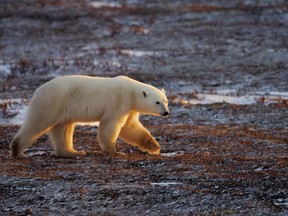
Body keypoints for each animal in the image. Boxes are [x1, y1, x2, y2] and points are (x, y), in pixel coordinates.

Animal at [10, 75, 169, 158]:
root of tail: (38, 90)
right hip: (52, 102)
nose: (166, 113)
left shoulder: (129, 109)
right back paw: (18, 151)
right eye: (157, 102)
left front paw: (154, 146)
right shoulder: (118, 102)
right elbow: (111, 125)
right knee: (37, 123)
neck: (131, 92)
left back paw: (73, 152)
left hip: (62, 109)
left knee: (63, 129)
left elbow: (130, 127)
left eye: (166, 101)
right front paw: (114, 151)